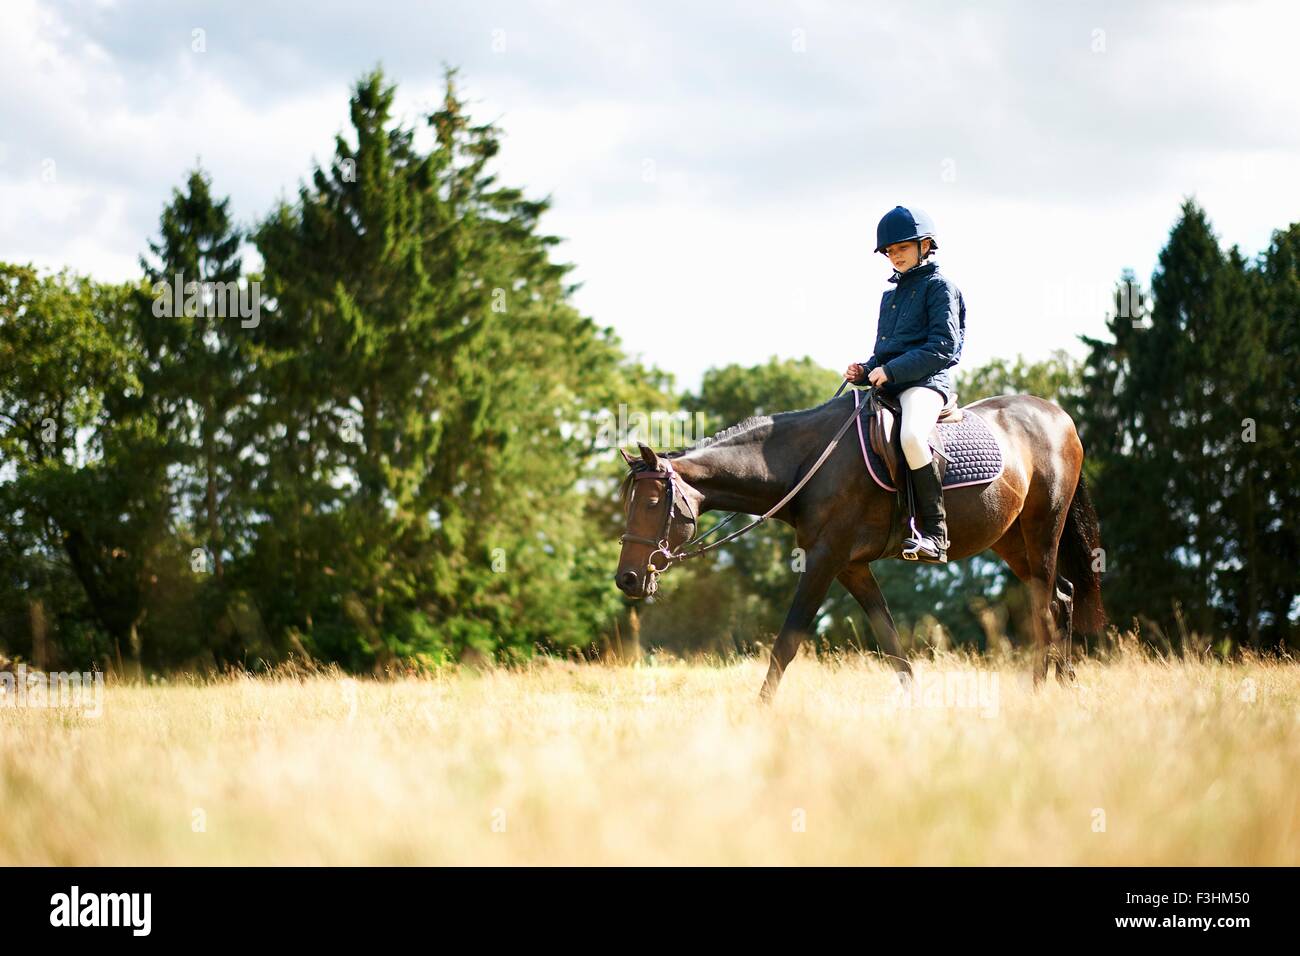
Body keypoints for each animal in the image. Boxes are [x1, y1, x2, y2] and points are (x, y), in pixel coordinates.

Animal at [613, 390, 1102, 702]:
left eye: (652, 502)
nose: (628, 579)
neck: (808, 464)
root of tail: (1058, 416)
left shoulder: (823, 561)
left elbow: (787, 642)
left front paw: (760, 711)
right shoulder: (851, 567)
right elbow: (891, 643)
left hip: (1042, 529)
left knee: (1045, 608)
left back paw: (1041, 693)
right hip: (1011, 540)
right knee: (1058, 597)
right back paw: (1065, 686)